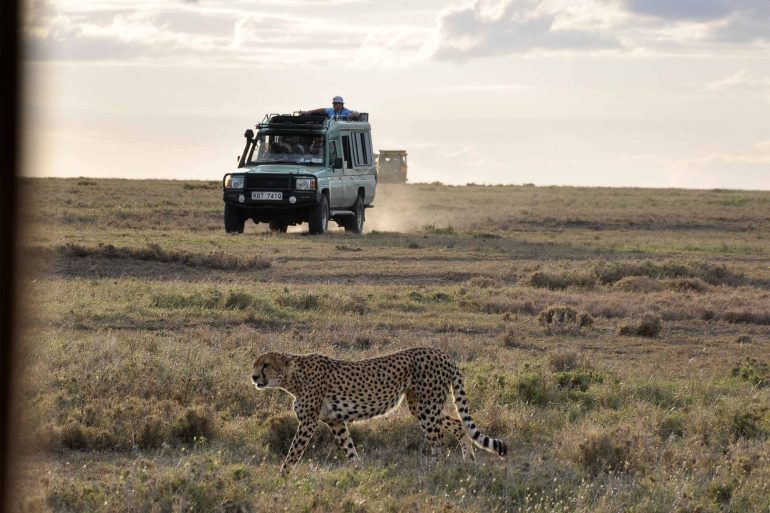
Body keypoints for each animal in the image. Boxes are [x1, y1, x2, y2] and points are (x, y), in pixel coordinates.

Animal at [251, 346, 507, 475]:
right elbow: (350, 449)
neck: (292, 378)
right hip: (421, 406)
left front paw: (282, 477)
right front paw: (358, 472)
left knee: (439, 444)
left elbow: (293, 452)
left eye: (266, 365)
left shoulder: (308, 422)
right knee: (458, 423)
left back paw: (437, 471)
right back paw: (468, 462)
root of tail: (443, 353)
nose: (253, 377)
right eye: (255, 365)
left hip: (427, 408)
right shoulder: (335, 422)